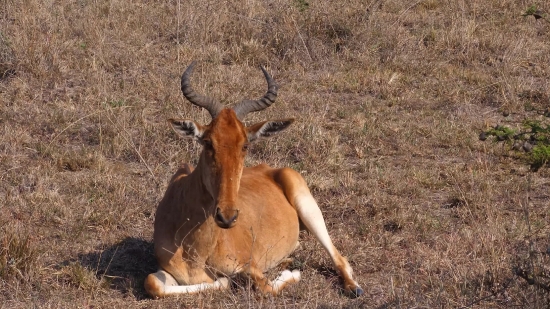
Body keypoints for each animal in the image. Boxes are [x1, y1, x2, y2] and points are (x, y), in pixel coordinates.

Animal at [144, 61, 364, 298]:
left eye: (245, 144)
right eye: (208, 142)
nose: (227, 216)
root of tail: (271, 169)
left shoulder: (249, 265)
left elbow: (265, 286)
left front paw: (293, 274)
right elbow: (154, 284)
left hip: (309, 209)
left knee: (340, 258)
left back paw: (354, 287)